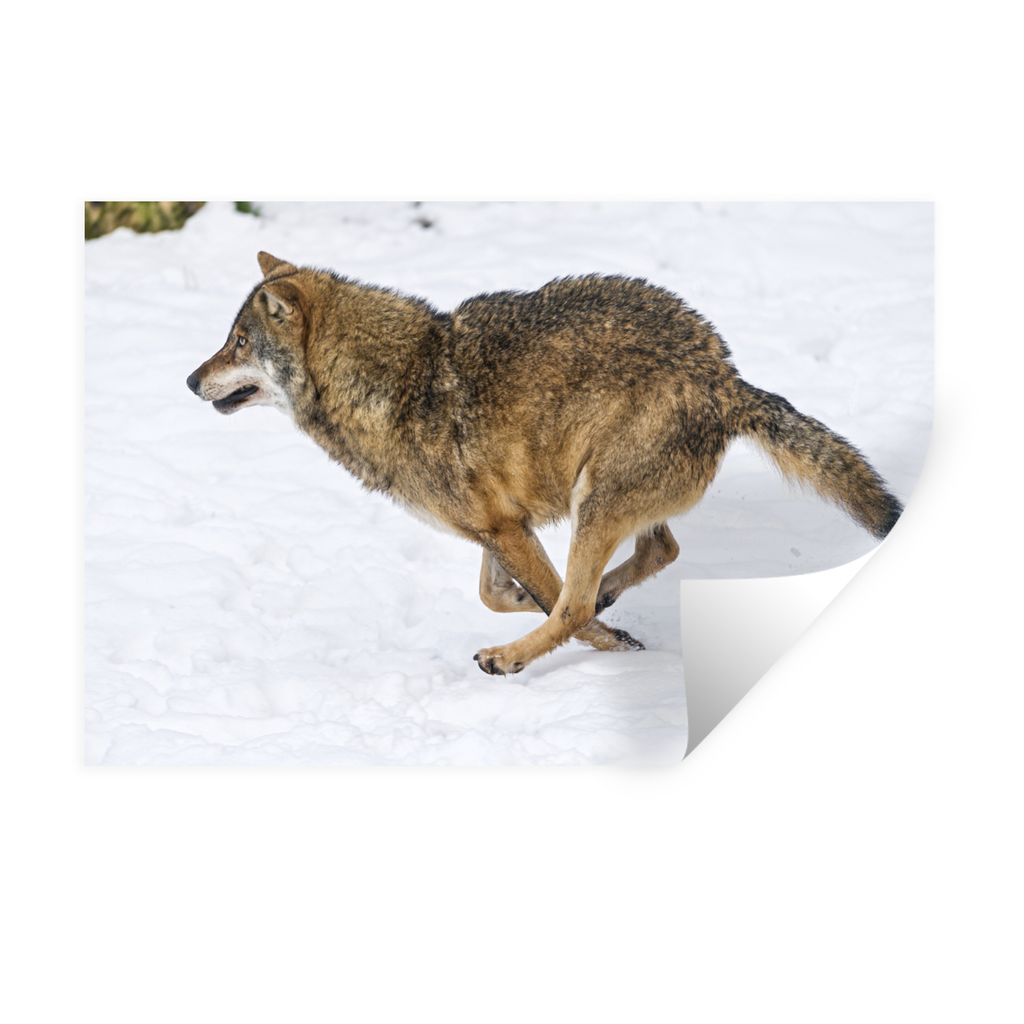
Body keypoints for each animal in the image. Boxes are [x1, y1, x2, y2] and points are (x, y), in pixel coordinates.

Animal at [186, 252, 903, 675]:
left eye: (240, 342)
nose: (191, 381)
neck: (392, 383)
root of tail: (725, 377)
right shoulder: (499, 526)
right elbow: (500, 591)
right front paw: (559, 611)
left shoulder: (503, 527)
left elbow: (560, 607)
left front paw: (612, 647)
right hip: (607, 499)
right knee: (657, 552)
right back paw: (603, 594)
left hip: (595, 497)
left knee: (581, 602)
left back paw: (511, 657)